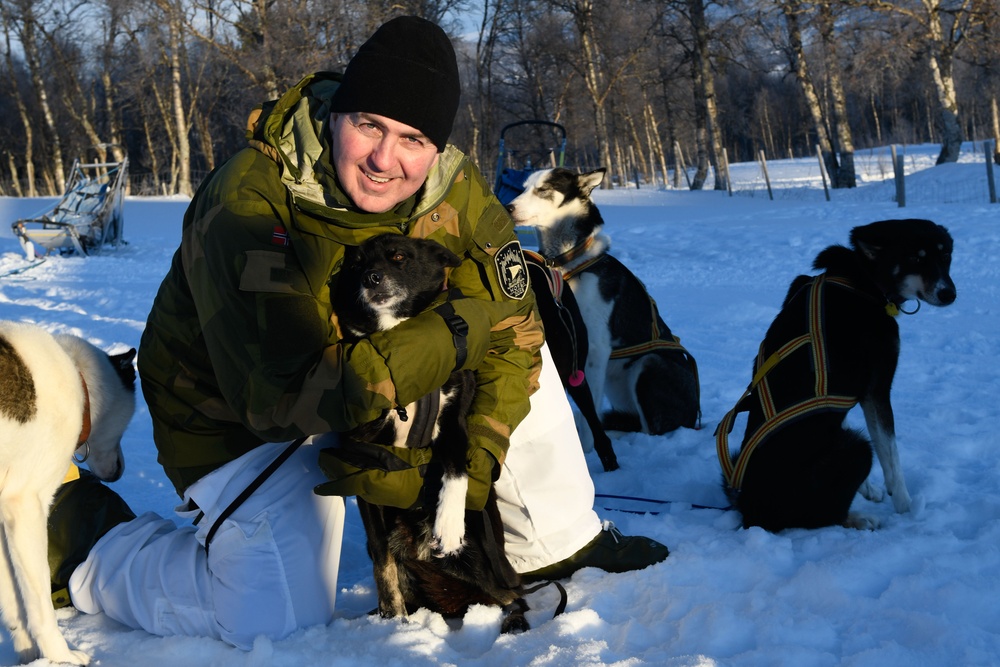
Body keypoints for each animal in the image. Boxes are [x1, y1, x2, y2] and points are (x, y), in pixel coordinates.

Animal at [0, 322, 136, 664]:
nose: (119, 471)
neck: (78, 378)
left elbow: (14, 603)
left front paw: (28, 654)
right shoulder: (26, 506)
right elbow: (39, 606)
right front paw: (60, 656)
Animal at [504, 167, 700, 452]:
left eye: (544, 189)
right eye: (524, 187)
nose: (507, 207)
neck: (571, 263)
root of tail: (695, 416)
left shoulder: (593, 350)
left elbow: (591, 415)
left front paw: (588, 448)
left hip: (649, 364)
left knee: (648, 430)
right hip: (615, 382)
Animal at [716, 219, 956, 532]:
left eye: (945, 255)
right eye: (915, 259)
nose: (949, 293)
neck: (863, 280)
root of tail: (750, 507)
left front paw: (869, 489)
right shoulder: (877, 390)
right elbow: (892, 458)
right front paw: (906, 507)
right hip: (857, 449)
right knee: (824, 516)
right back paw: (860, 518)